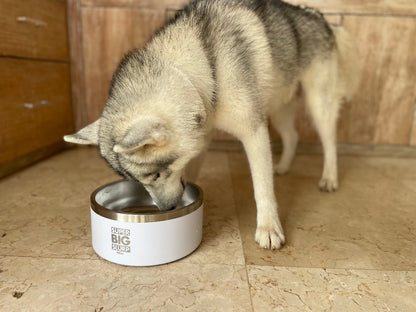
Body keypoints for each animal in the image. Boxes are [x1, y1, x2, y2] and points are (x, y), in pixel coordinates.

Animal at [63, 0, 360, 249]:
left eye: (155, 176)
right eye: (139, 181)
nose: (166, 210)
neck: (200, 66)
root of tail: (320, 16)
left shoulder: (254, 132)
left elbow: (262, 187)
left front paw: (268, 228)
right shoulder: (199, 138)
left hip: (318, 105)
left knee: (329, 141)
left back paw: (329, 177)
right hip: (278, 108)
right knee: (293, 136)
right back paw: (284, 166)